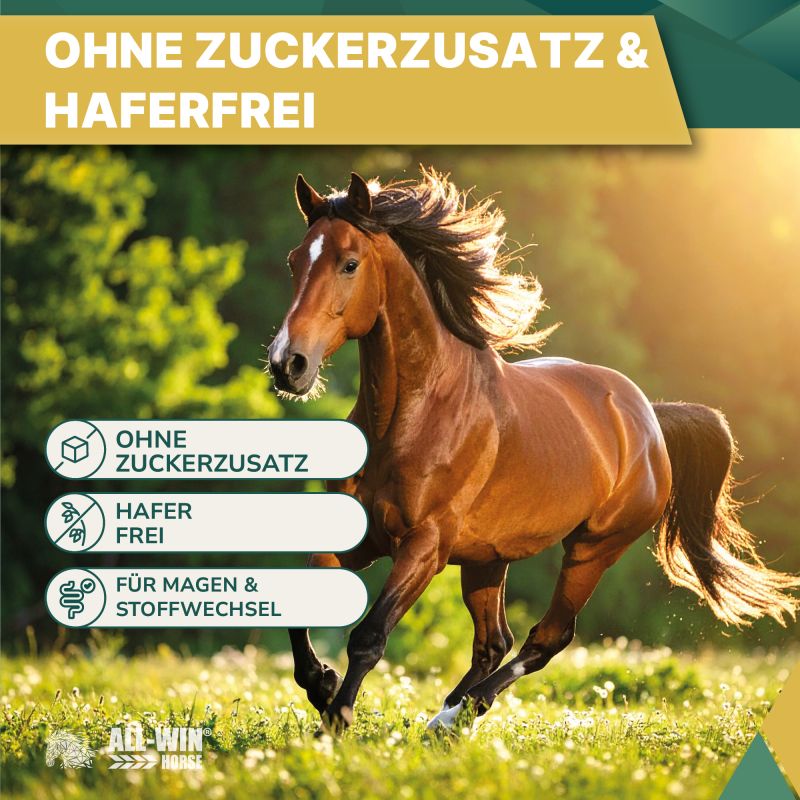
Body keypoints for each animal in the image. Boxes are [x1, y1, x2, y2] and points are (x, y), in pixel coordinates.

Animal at [268, 168, 799, 732]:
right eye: (295, 260)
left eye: (349, 263)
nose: (288, 364)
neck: (413, 417)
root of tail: (651, 419)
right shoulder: (357, 535)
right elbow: (301, 605)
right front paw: (322, 685)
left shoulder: (424, 546)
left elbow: (370, 636)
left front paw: (336, 719)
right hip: (487, 559)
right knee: (493, 642)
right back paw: (449, 718)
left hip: (591, 550)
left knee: (546, 639)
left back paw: (454, 716)